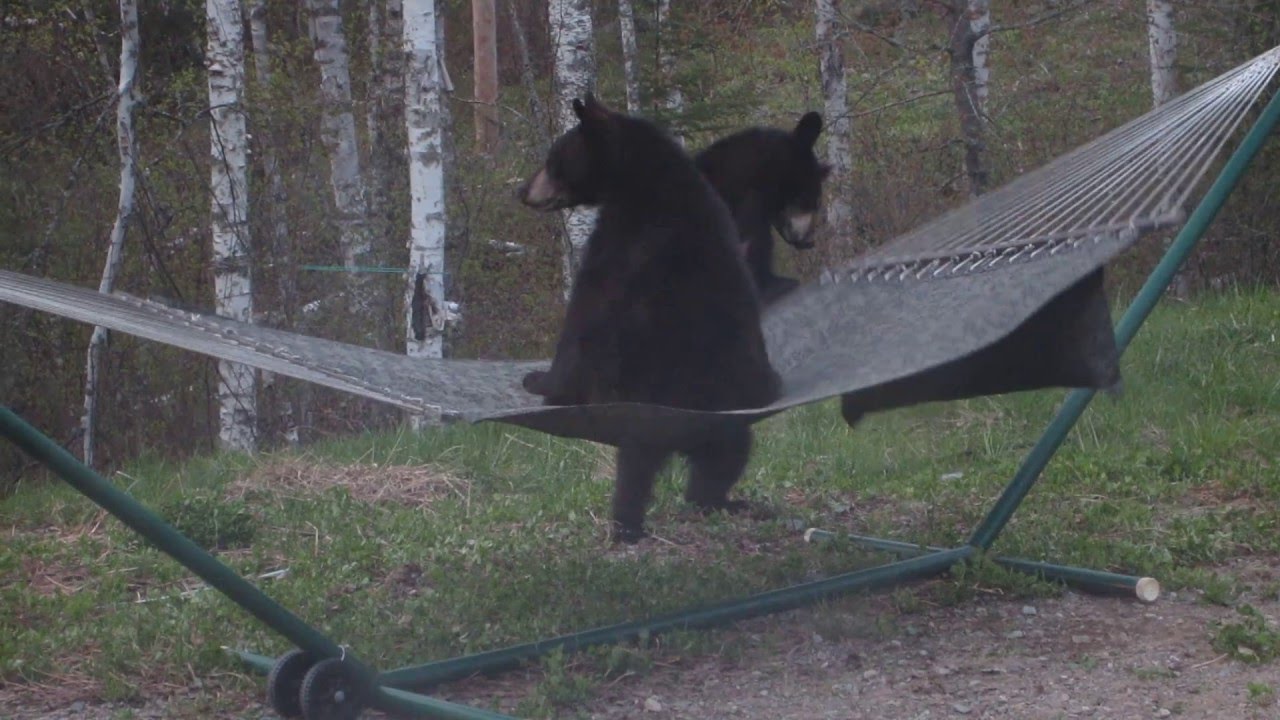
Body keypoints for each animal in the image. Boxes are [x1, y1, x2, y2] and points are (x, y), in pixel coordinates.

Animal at [517, 93, 782, 543]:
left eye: (554, 159)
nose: (522, 190)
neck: (644, 178)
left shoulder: (621, 244)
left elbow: (585, 318)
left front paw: (541, 381)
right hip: (730, 420)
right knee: (725, 459)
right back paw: (724, 501)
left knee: (636, 465)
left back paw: (625, 522)